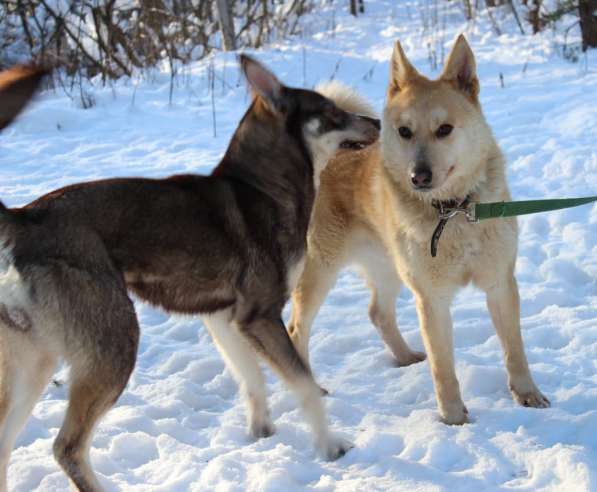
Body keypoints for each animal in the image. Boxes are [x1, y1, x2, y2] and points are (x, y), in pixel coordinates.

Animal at [0, 56, 380, 488]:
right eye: (333, 112)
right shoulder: (261, 315)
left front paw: (261, 431)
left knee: (6, 444)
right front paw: (330, 445)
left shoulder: (225, 319)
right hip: (114, 346)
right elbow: (304, 384)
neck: (265, 187)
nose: (377, 122)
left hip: (35, 365)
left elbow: (252, 379)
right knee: (67, 447)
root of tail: (24, 219)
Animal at [290, 36, 548, 424]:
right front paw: (454, 419)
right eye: (404, 132)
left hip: (387, 265)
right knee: (296, 329)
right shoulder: (432, 298)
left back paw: (405, 356)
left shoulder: (500, 283)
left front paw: (527, 394)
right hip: (321, 266)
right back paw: (310, 388)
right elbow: (443, 369)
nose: (419, 176)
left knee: (378, 313)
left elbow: (514, 350)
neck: (454, 211)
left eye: (444, 129)